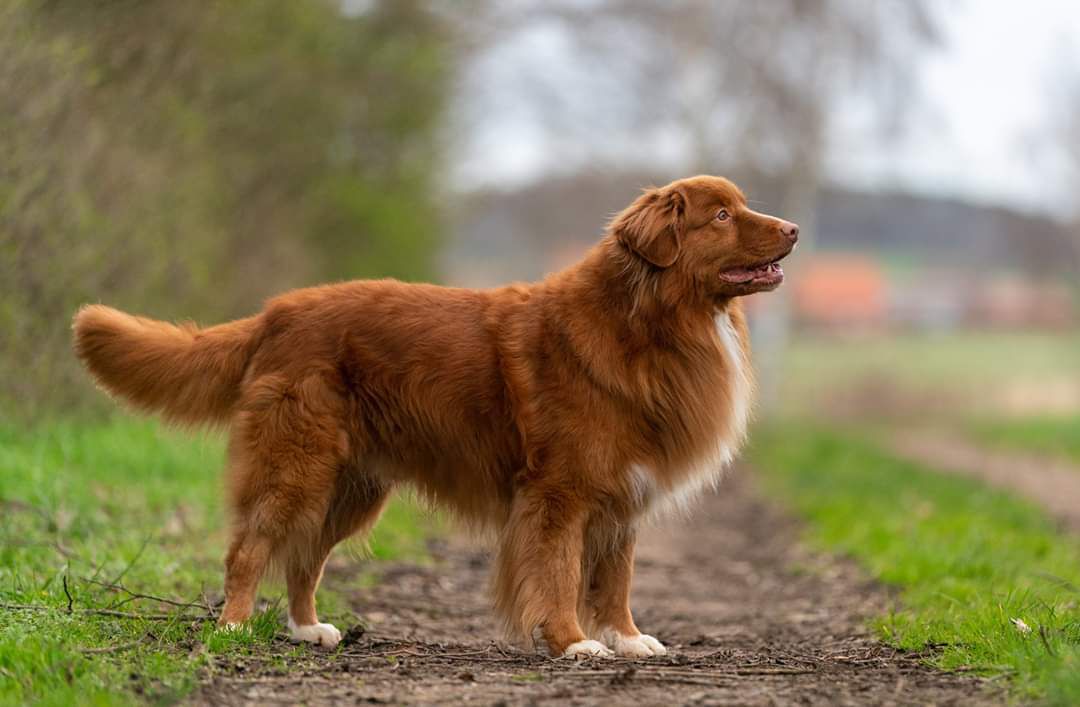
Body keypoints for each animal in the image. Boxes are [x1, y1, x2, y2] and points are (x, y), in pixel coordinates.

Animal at [73, 175, 794, 656]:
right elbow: (559, 572)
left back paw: (307, 628)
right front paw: (571, 642)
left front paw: (628, 638)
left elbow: (614, 578)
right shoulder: (561, 492)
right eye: (722, 215)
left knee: (305, 555)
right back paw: (233, 624)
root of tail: (275, 313)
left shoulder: (621, 494)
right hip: (296, 466)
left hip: (350, 487)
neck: (646, 321)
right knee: (251, 547)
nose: (792, 229)